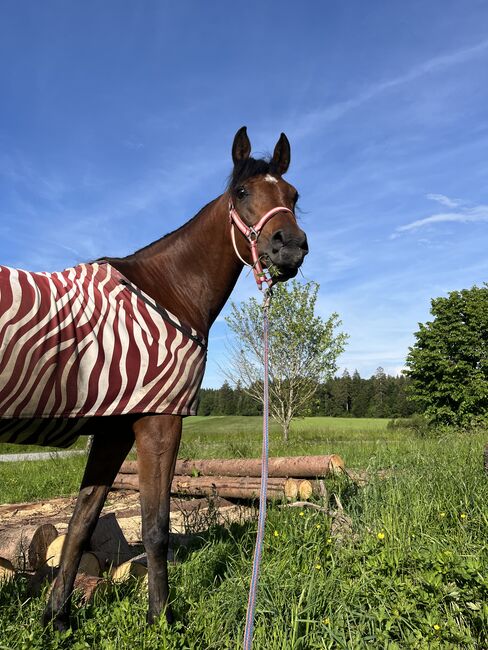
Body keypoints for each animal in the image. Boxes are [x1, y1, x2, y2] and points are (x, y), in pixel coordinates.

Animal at [0, 124, 306, 624]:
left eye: (293, 195)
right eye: (242, 192)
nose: (291, 246)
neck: (168, 291)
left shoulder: (113, 429)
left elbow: (82, 521)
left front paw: (56, 618)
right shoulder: (158, 421)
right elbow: (155, 527)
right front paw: (161, 617)